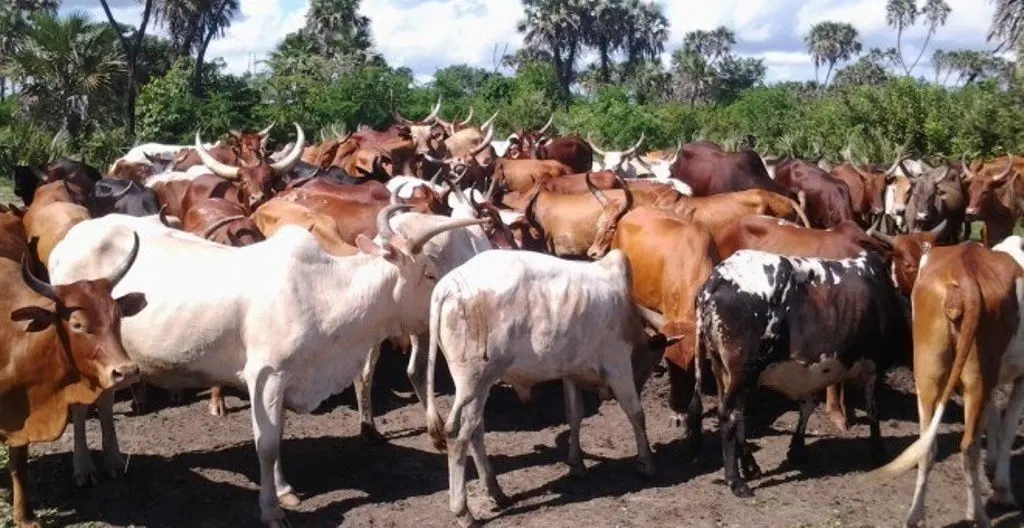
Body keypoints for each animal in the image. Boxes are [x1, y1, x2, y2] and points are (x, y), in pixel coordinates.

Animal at [1, 235, 143, 527]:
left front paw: (24, 517)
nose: (126, 371)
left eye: (118, 317)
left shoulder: (21, 419)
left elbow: (19, 463)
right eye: (77, 324)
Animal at [49, 205, 487, 526]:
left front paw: (284, 490)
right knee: (79, 407)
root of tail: (68, 240)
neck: (324, 294)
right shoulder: (266, 376)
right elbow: (268, 444)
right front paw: (271, 510)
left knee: (105, 402)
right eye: (428, 271)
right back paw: (84, 468)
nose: (447, 296)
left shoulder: (286, 378)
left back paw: (112, 458)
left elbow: (278, 440)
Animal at [422, 248, 674, 527]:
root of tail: (448, 285)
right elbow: (636, 414)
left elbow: (574, 416)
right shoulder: (618, 365)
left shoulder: (570, 373)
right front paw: (647, 463)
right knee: (458, 436)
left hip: (479, 386)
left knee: (475, 431)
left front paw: (577, 465)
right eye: (653, 363)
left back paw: (496, 491)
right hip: (474, 382)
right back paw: (463, 512)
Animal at [691, 250, 910, 497]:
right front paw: (879, 451)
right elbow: (873, 410)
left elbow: (807, 406)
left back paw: (749, 465)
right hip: (743, 371)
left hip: (722, 369)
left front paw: (797, 449)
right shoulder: (873, 366)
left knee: (737, 413)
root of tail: (716, 278)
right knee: (729, 415)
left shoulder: (812, 373)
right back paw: (736, 481)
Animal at [872, 239, 1024, 528]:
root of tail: (963, 276)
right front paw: (1002, 489)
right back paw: (978, 515)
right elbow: (1008, 426)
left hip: (928, 373)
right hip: (977, 373)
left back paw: (915, 514)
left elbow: (994, 418)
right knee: (968, 446)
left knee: (927, 445)